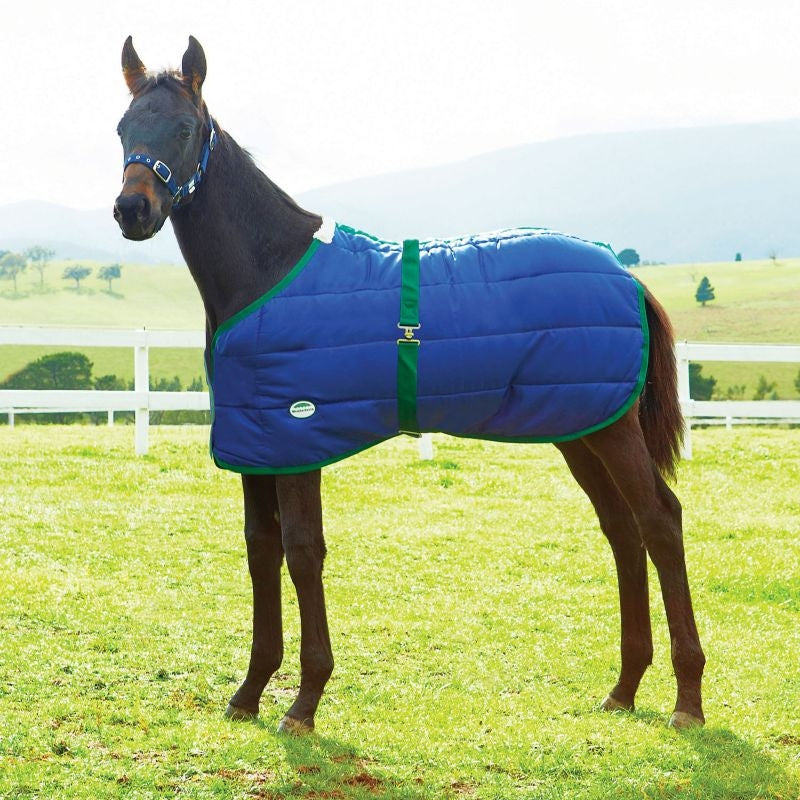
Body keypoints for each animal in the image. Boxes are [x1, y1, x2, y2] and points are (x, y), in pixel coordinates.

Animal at [113, 36, 705, 733]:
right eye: (122, 128)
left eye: (183, 128)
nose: (132, 211)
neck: (271, 271)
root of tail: (626, 275)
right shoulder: (256, 447)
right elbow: (262, 552)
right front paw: (250, 691)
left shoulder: (297, 442)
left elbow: (302, 552)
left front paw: (305, 701)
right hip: (580, 429)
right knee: (623, 531)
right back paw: (623, 688)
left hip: (611, 432)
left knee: (660, 522)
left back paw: (688, 700)